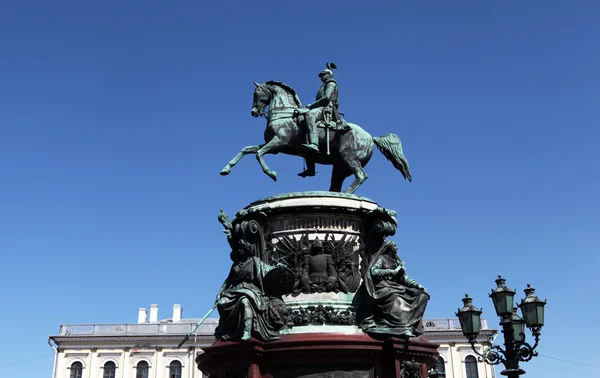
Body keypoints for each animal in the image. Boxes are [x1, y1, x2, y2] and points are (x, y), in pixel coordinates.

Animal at [220, 81, 412, 193]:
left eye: (257, 94)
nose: (253, 112)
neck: (284, 114)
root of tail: (371, 137)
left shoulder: (278, 143)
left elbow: (259, 155)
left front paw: (271, 173)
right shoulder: (274, 147)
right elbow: (246, 149)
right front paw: (226, 168)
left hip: (350, 159)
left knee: (361, 176)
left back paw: (346, 195)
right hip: (340, 167)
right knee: (338, 183)